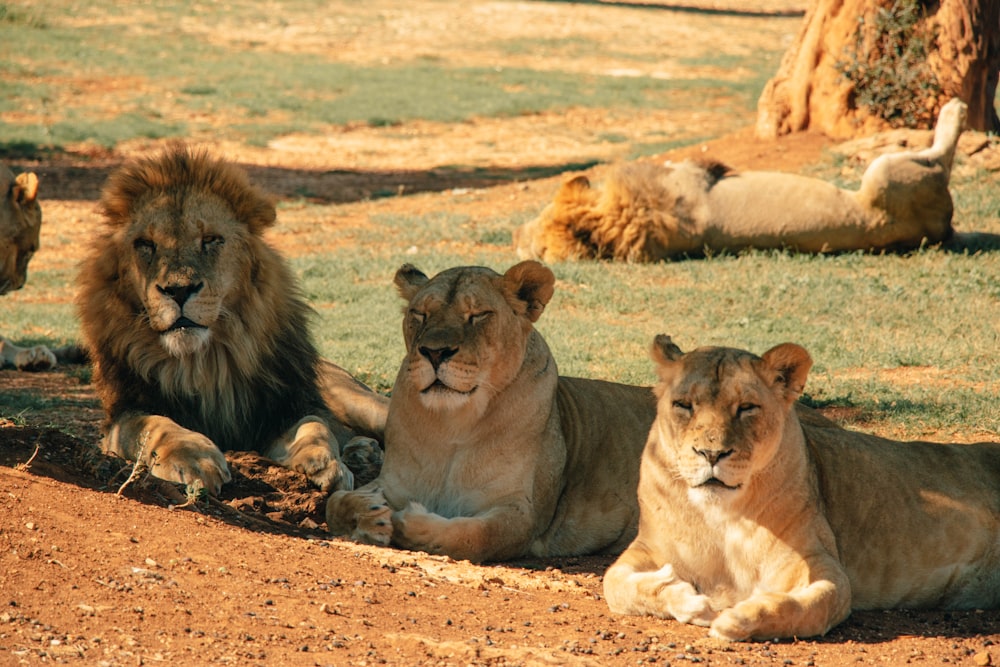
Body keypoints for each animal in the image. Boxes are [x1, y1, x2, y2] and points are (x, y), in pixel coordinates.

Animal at [74, 146, 384, 496]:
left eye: (210, 239)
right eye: (145, 244)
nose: (178, 290)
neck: (205, 362)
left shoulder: (287, 406)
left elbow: (316, 425)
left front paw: (324, 463)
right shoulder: (121, 414)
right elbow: (154, 425)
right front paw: (193, 457)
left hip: (363, 402)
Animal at [516, 98, 968, 262]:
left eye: (534, 225)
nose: (513, 236)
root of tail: (942, 229)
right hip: (886, 176)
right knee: (939, 159)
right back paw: (955, 111)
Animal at [600, 336, 1000, 644]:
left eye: (747, 408)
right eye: (683, 405)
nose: (711, 454)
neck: (720, 515)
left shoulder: (820, 564)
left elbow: (810, 605)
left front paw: (739, 618)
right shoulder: (648, 547)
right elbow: (614, 584)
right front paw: (688, 598)